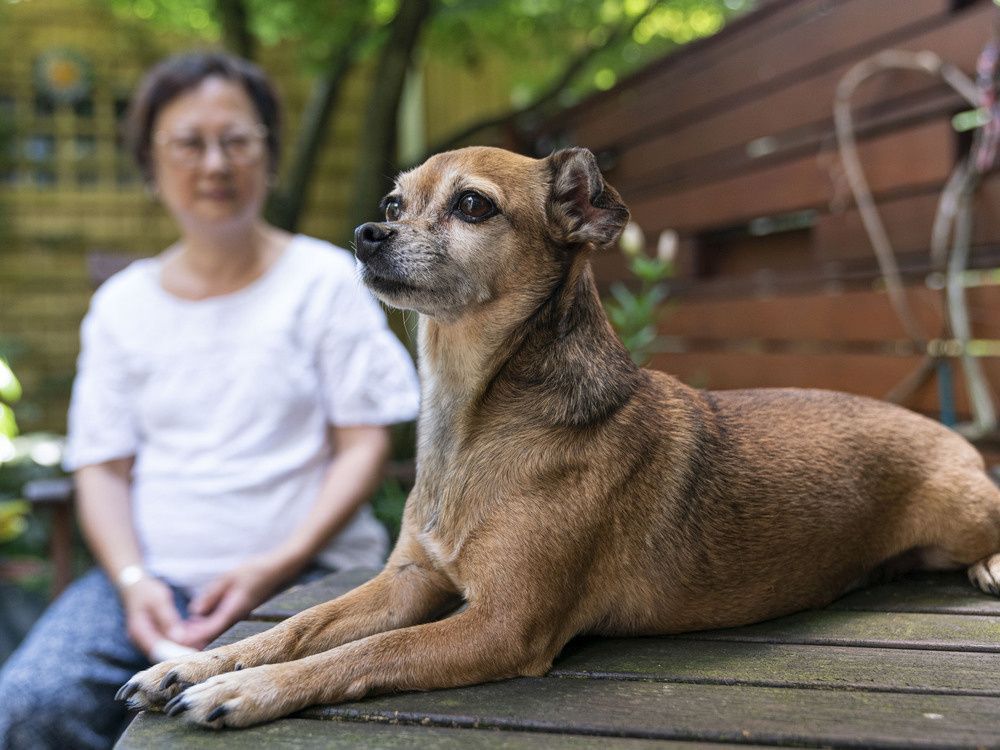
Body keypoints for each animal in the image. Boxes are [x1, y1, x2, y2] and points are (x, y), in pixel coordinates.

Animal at [121, 145, 1000, 728]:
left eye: (473, 206)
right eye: (397, 203)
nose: (369, 232)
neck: (475, 417)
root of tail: (937, 426)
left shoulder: (500, 625)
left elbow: (358, 657)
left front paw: (245, 691)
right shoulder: (409, 582)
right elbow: (298, 628)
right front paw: (190, 663)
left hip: (961, 509)